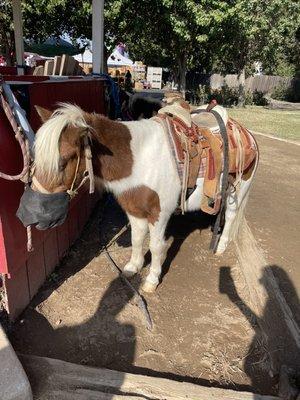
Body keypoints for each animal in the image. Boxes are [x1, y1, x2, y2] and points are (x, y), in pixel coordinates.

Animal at [18, 101, 258, 292]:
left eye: (64, 160)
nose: (27, 215)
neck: (140, 160)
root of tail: (245, 132)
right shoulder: (133, 210)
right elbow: (137, 239)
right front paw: (133, 267)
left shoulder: (159, 214)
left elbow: (156, 246)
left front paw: (151, 280)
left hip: (241, 188)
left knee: (232, 215)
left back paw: (221, 246)